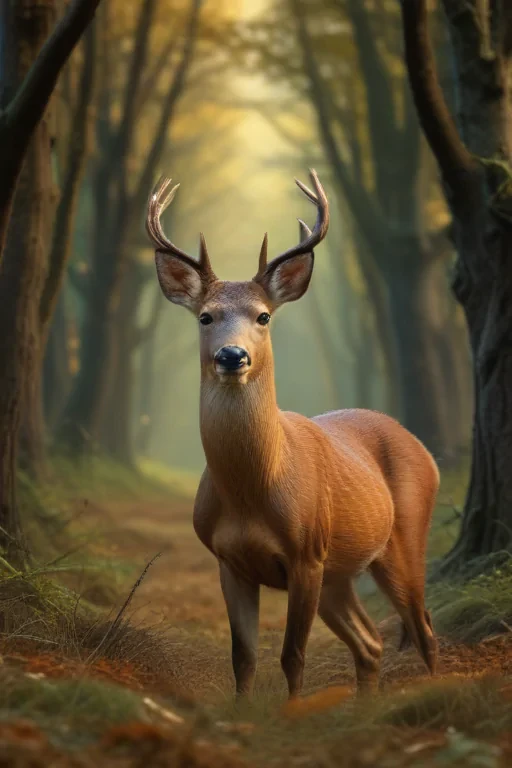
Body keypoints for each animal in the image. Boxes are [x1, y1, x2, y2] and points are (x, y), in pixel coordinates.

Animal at [146, 170, 439, 700]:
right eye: (205, 316)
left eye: (263, 316)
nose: (232, 355)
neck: (252, 492)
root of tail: (423, 449)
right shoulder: (229, 560)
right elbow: (242, 657)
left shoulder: (306, 554)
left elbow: (292, 656)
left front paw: (292, 711)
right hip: (340, 575)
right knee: (371, 643)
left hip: (402, 537)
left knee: (423, 627)